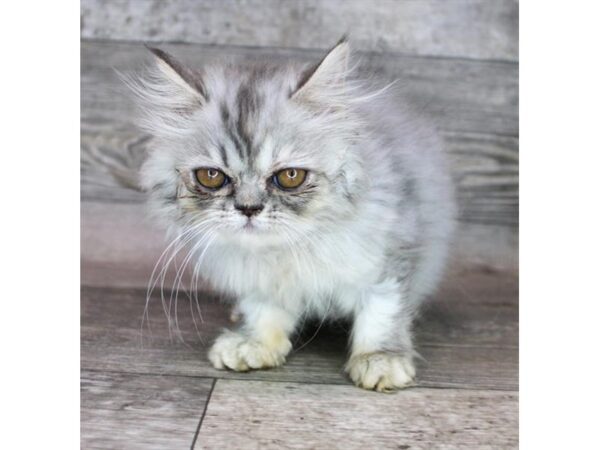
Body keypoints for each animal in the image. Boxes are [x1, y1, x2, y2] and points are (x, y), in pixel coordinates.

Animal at [126, 37, 454, 390]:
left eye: (290, 176)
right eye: (211, 176)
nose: (249, 208)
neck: (284, 251)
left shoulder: (391, 255)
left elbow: (381, 311)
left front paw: (379, 359)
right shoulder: (258, 279)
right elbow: (263, 311)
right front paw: (254, 343)